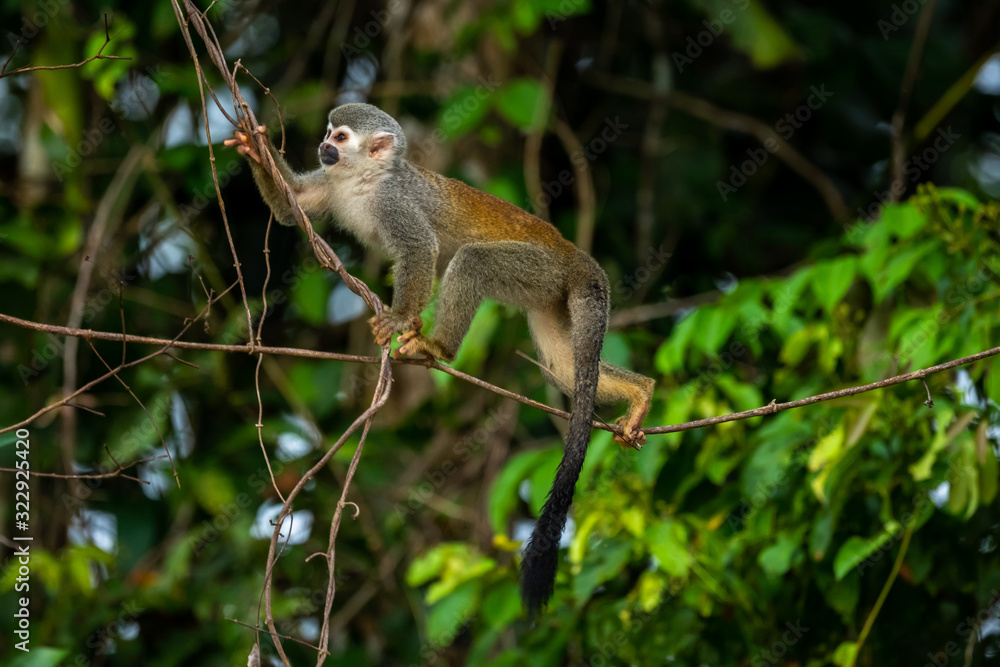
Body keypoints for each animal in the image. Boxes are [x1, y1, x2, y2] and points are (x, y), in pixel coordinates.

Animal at [226, 103, 655, 613]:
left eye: (341, 136)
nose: (323, 146)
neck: (362, 179)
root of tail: (573, 255)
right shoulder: (332, 184)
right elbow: (294, 206)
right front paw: (255, 147)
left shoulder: (394, 201)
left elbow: (420, 249)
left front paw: (398, 318)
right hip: (549, 292)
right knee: (567, 369)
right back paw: (641, 392)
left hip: (539, 269)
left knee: (472, 261)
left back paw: (438, 348)